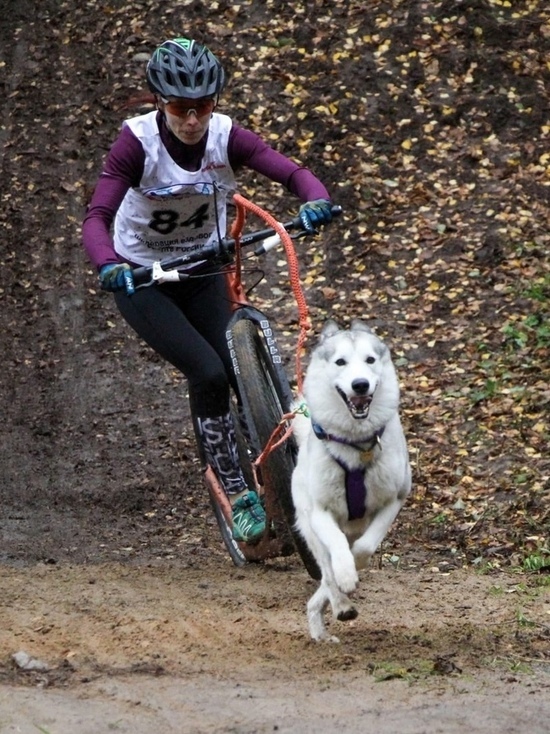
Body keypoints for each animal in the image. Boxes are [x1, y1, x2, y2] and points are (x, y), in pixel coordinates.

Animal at [292, 322, 412, 644]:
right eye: (340, 362)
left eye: (370, 360)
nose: (360, 385)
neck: (356, 445)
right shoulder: (320, 512)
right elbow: (336, 551)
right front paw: (346, 575)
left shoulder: (394, 500)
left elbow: (366, 546)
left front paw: (355, 567)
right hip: (309, 529)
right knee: (326, 571)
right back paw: (340, 606)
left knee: (321, 587)